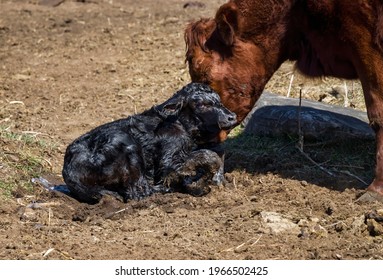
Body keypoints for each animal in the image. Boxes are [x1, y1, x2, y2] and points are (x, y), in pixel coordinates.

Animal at [62, 83, 237, 203]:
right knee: (138, 192)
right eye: (202, 105)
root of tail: (69, 171)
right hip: (127, 145)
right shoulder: (168, 160)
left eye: (219, 101)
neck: (179, 123)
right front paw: (198, 184)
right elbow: (207, 155)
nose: (232, 117)